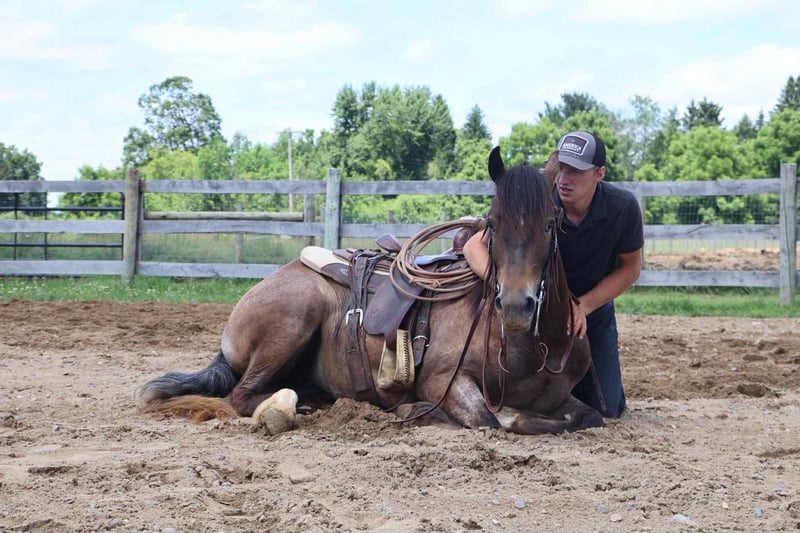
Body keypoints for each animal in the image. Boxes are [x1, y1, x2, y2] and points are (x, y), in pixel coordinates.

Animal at [138, 147, 604, 435]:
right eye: (493, 222)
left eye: (551, 222)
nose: (515, 305)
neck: (530, 349)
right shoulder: (444, 381)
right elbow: (491, 420)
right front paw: (416, 411)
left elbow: (590, 417)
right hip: (293, 319)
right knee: (241, 395)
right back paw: (285, 407)